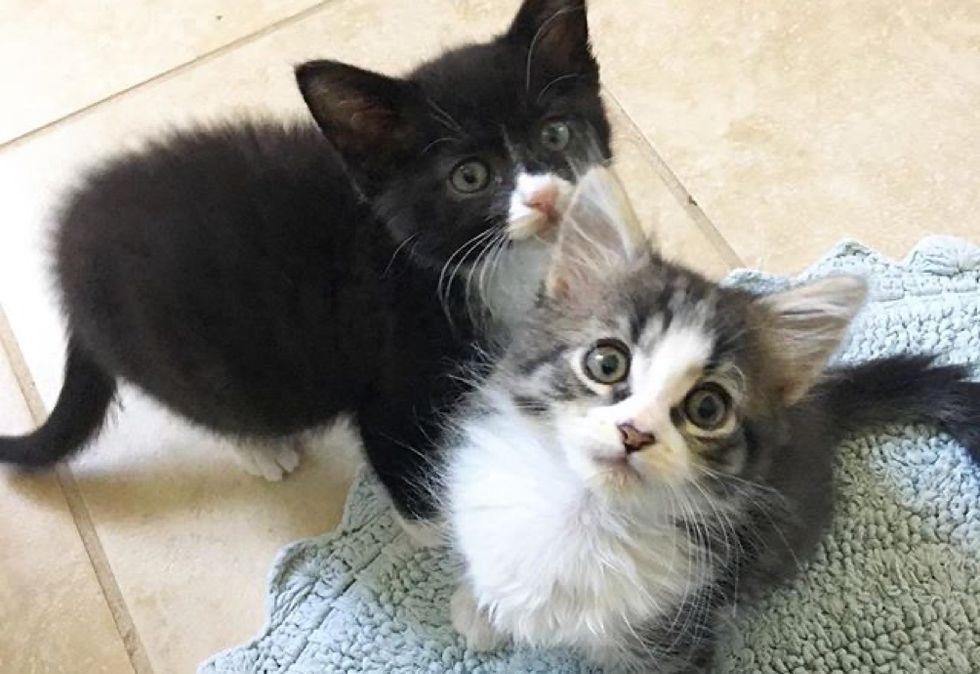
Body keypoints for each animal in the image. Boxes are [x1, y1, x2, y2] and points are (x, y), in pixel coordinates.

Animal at [0, 0, 608, 520]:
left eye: (557, 134)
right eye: (470, 176)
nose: (546, 197)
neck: (482, 269)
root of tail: (68, 257)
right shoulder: (392, 396)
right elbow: (422, 501)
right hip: (184, 356)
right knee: (218, 403)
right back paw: (260, 448)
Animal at [444, 165, 980, 668]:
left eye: (707, 408)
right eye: (607, 362)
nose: (634, 433)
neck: (587, 513)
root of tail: (820, 401)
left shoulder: (677, 636)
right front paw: (479, 608)